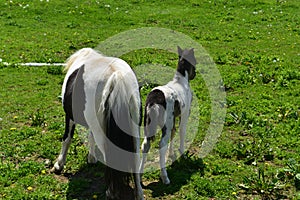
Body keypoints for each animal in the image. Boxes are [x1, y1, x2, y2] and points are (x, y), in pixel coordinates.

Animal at [51, 48, 144, 200]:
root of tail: (116, 75)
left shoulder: (69, 116)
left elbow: (67, 138)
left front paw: (59, 165)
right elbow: (90, 136)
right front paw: (92, 158)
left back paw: (111, 192)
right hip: (133, 131)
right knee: (135, 157)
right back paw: (139, 193)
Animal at [139, 46, 197, 185]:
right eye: (195, 61)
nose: (195, 74)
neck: (181, 81)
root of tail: (154, 102)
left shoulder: (174, 118)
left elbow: (174, 132)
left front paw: (171, 154)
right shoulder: (185, 113)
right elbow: (182, 131)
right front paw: (182, 154)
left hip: (148, 124)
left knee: (145, 144)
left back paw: (139, 175)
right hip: (165, 124)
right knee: (161, 144)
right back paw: (165, 177)